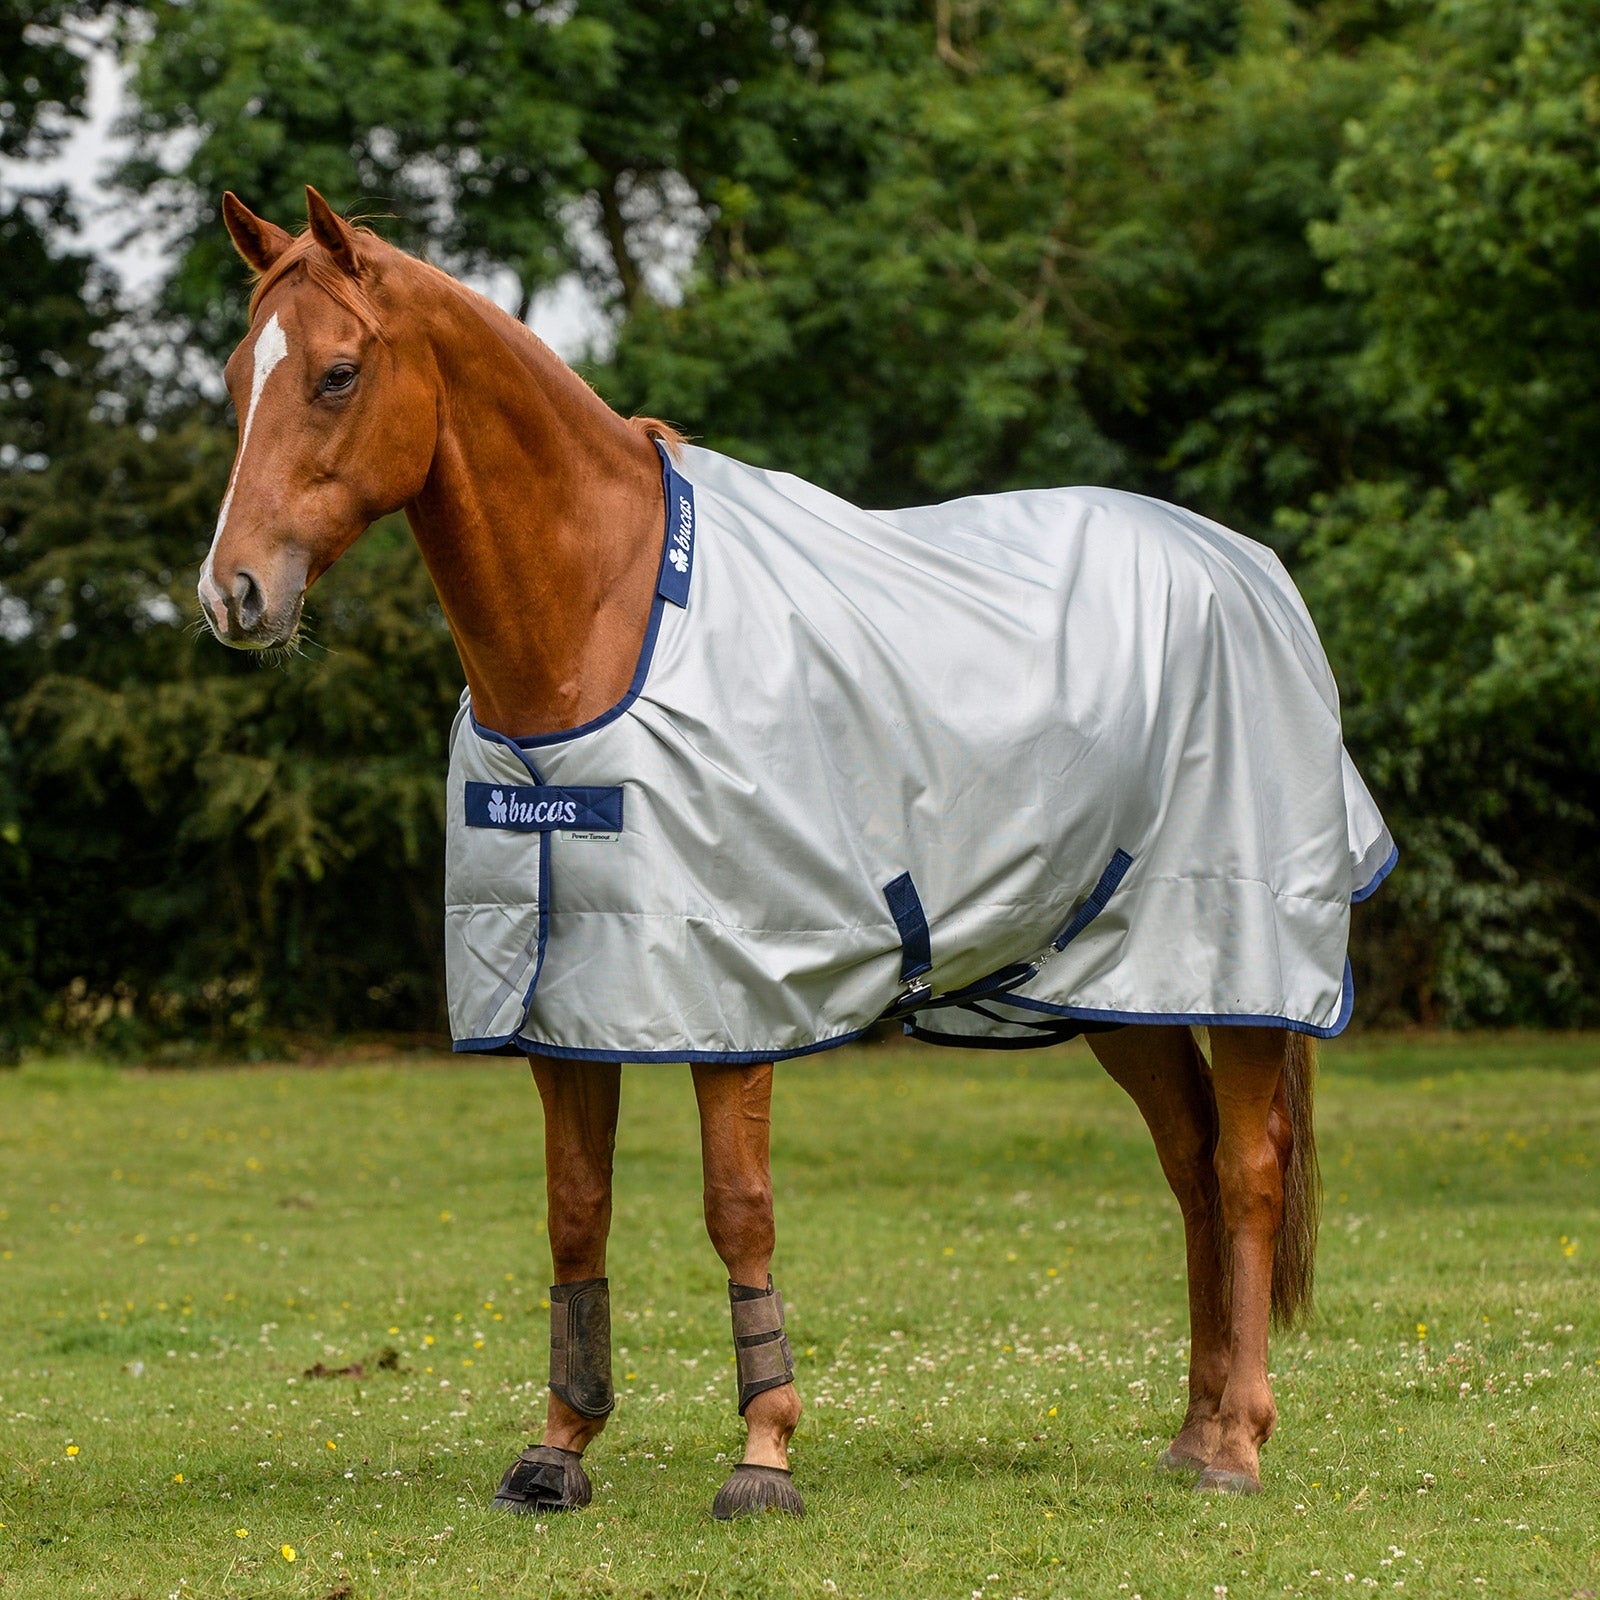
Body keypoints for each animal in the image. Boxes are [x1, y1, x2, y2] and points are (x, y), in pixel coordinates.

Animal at [198, 186, 1392, 1518]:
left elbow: (738, 1208)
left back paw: (1236, 1442)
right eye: (241, 375)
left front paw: (762, 1453)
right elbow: (575, 1212)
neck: (601, 620)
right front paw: (559, 1448)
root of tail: (1246, 568)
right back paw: (1189, 1434)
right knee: (1189, 1164)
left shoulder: (737, 995)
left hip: (1241, 962)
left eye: (338, 373)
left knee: (1246, 1166)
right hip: (1113, 980)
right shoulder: (566, 1001)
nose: (232, 593)